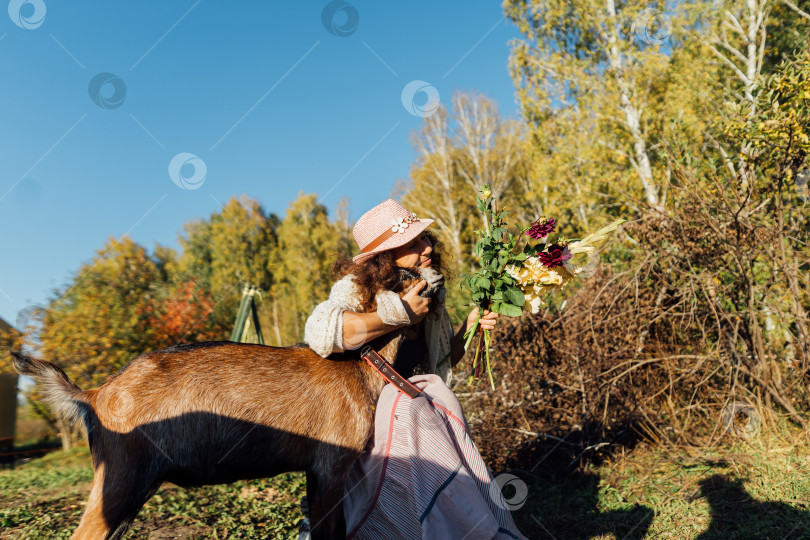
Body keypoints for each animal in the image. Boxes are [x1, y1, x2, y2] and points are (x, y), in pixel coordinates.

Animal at [12, 270, 438, 540]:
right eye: (403, 278)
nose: (435, 275)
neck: (360, 367)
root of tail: (95, 394)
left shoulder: (315, 471)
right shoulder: (332, 465)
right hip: (119, 477)